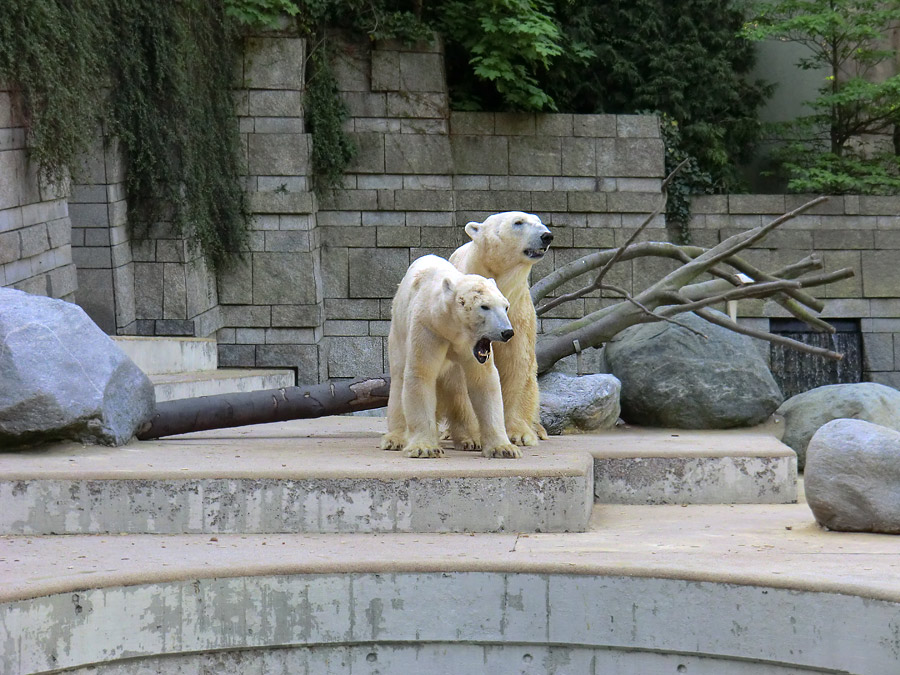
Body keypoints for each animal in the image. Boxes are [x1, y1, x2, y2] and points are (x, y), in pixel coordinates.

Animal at [380, 255, 520, 460]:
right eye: (484, 306)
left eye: (506, 307)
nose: (507, 332)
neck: (451, 328)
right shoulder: (428, 328)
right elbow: (420, 374)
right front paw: (425, 448)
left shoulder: (470, 346)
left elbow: (484, 380)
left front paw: (504, 448)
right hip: (398, 330)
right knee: (399, 379)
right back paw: (395, 439)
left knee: (458, 388)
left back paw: (470, 439)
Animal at [448, 209, 552, 446]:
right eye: (518, 222)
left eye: (539, 221)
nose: (546, 236)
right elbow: (462, 373)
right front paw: (471, 437)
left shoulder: (516, 314)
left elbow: (517, 363)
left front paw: (520, 434)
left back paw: (539, 429)